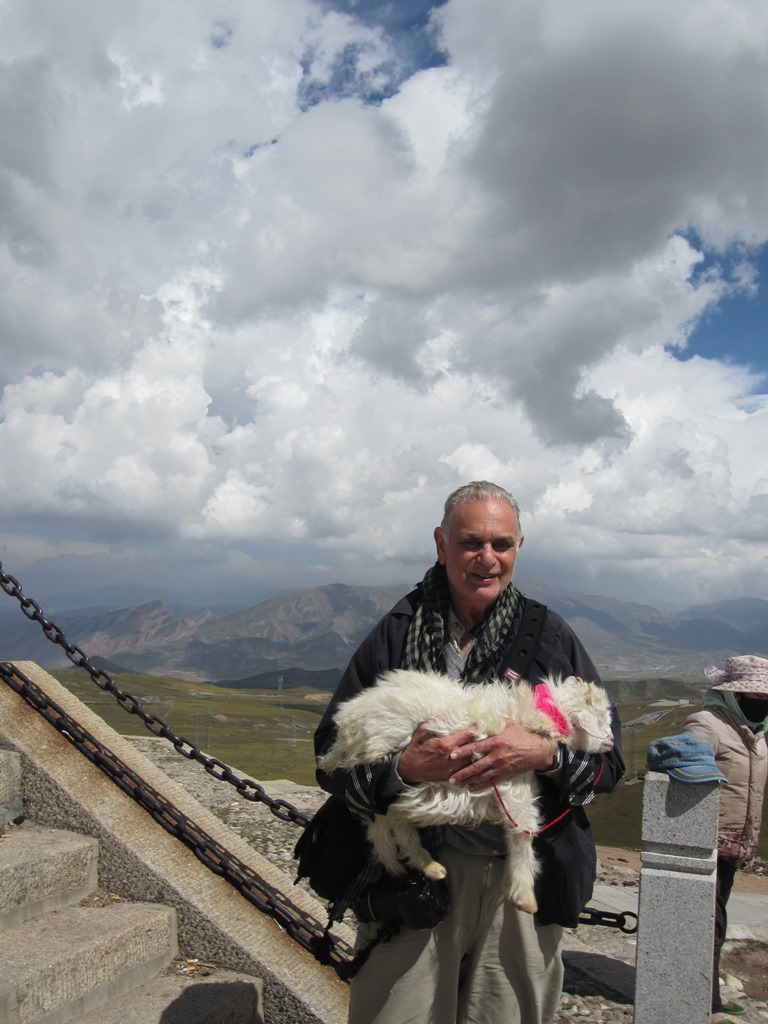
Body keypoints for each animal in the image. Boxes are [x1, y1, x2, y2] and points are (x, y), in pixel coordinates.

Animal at [317, 667, 614, 917]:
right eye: (601, 718)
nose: (612, 742)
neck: (542, 716)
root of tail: (348, 722)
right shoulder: (513, 787)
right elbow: (523, 834)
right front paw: (525, 897)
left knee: (389, 819)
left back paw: (419, 865)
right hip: (385, 769)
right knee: (389, 821)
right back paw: (424, 865)